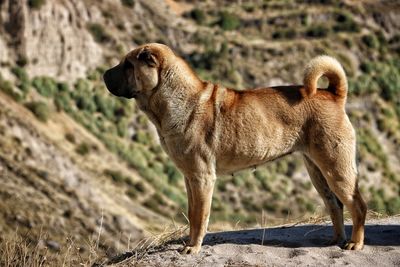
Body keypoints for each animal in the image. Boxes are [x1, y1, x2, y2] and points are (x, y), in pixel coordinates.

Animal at [103, 43, 366, 255]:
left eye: (128, 64)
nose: (104, 74)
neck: (174, 98)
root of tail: (333, 95)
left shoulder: (202, 178)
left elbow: (199, 216)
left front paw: (193, 247)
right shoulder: (190, 178)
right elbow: (192, 213)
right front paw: (189, 243)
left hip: (336, 167)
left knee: (357, 204)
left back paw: (355, 244)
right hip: (317, 171)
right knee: (335, 205)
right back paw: (335, 240)